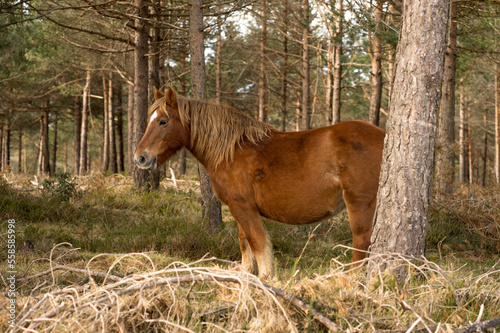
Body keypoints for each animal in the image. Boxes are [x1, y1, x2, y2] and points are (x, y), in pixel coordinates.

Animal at [135, 86, 384, 278]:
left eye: (163, 121)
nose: (140, 158)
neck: (232, 151)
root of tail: (383, 135)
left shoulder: (243, 207)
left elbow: (258, 242)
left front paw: (266, 278)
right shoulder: (240, 207)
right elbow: (245, 242)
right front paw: (248, 274)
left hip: (360, 204)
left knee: (361, 242)